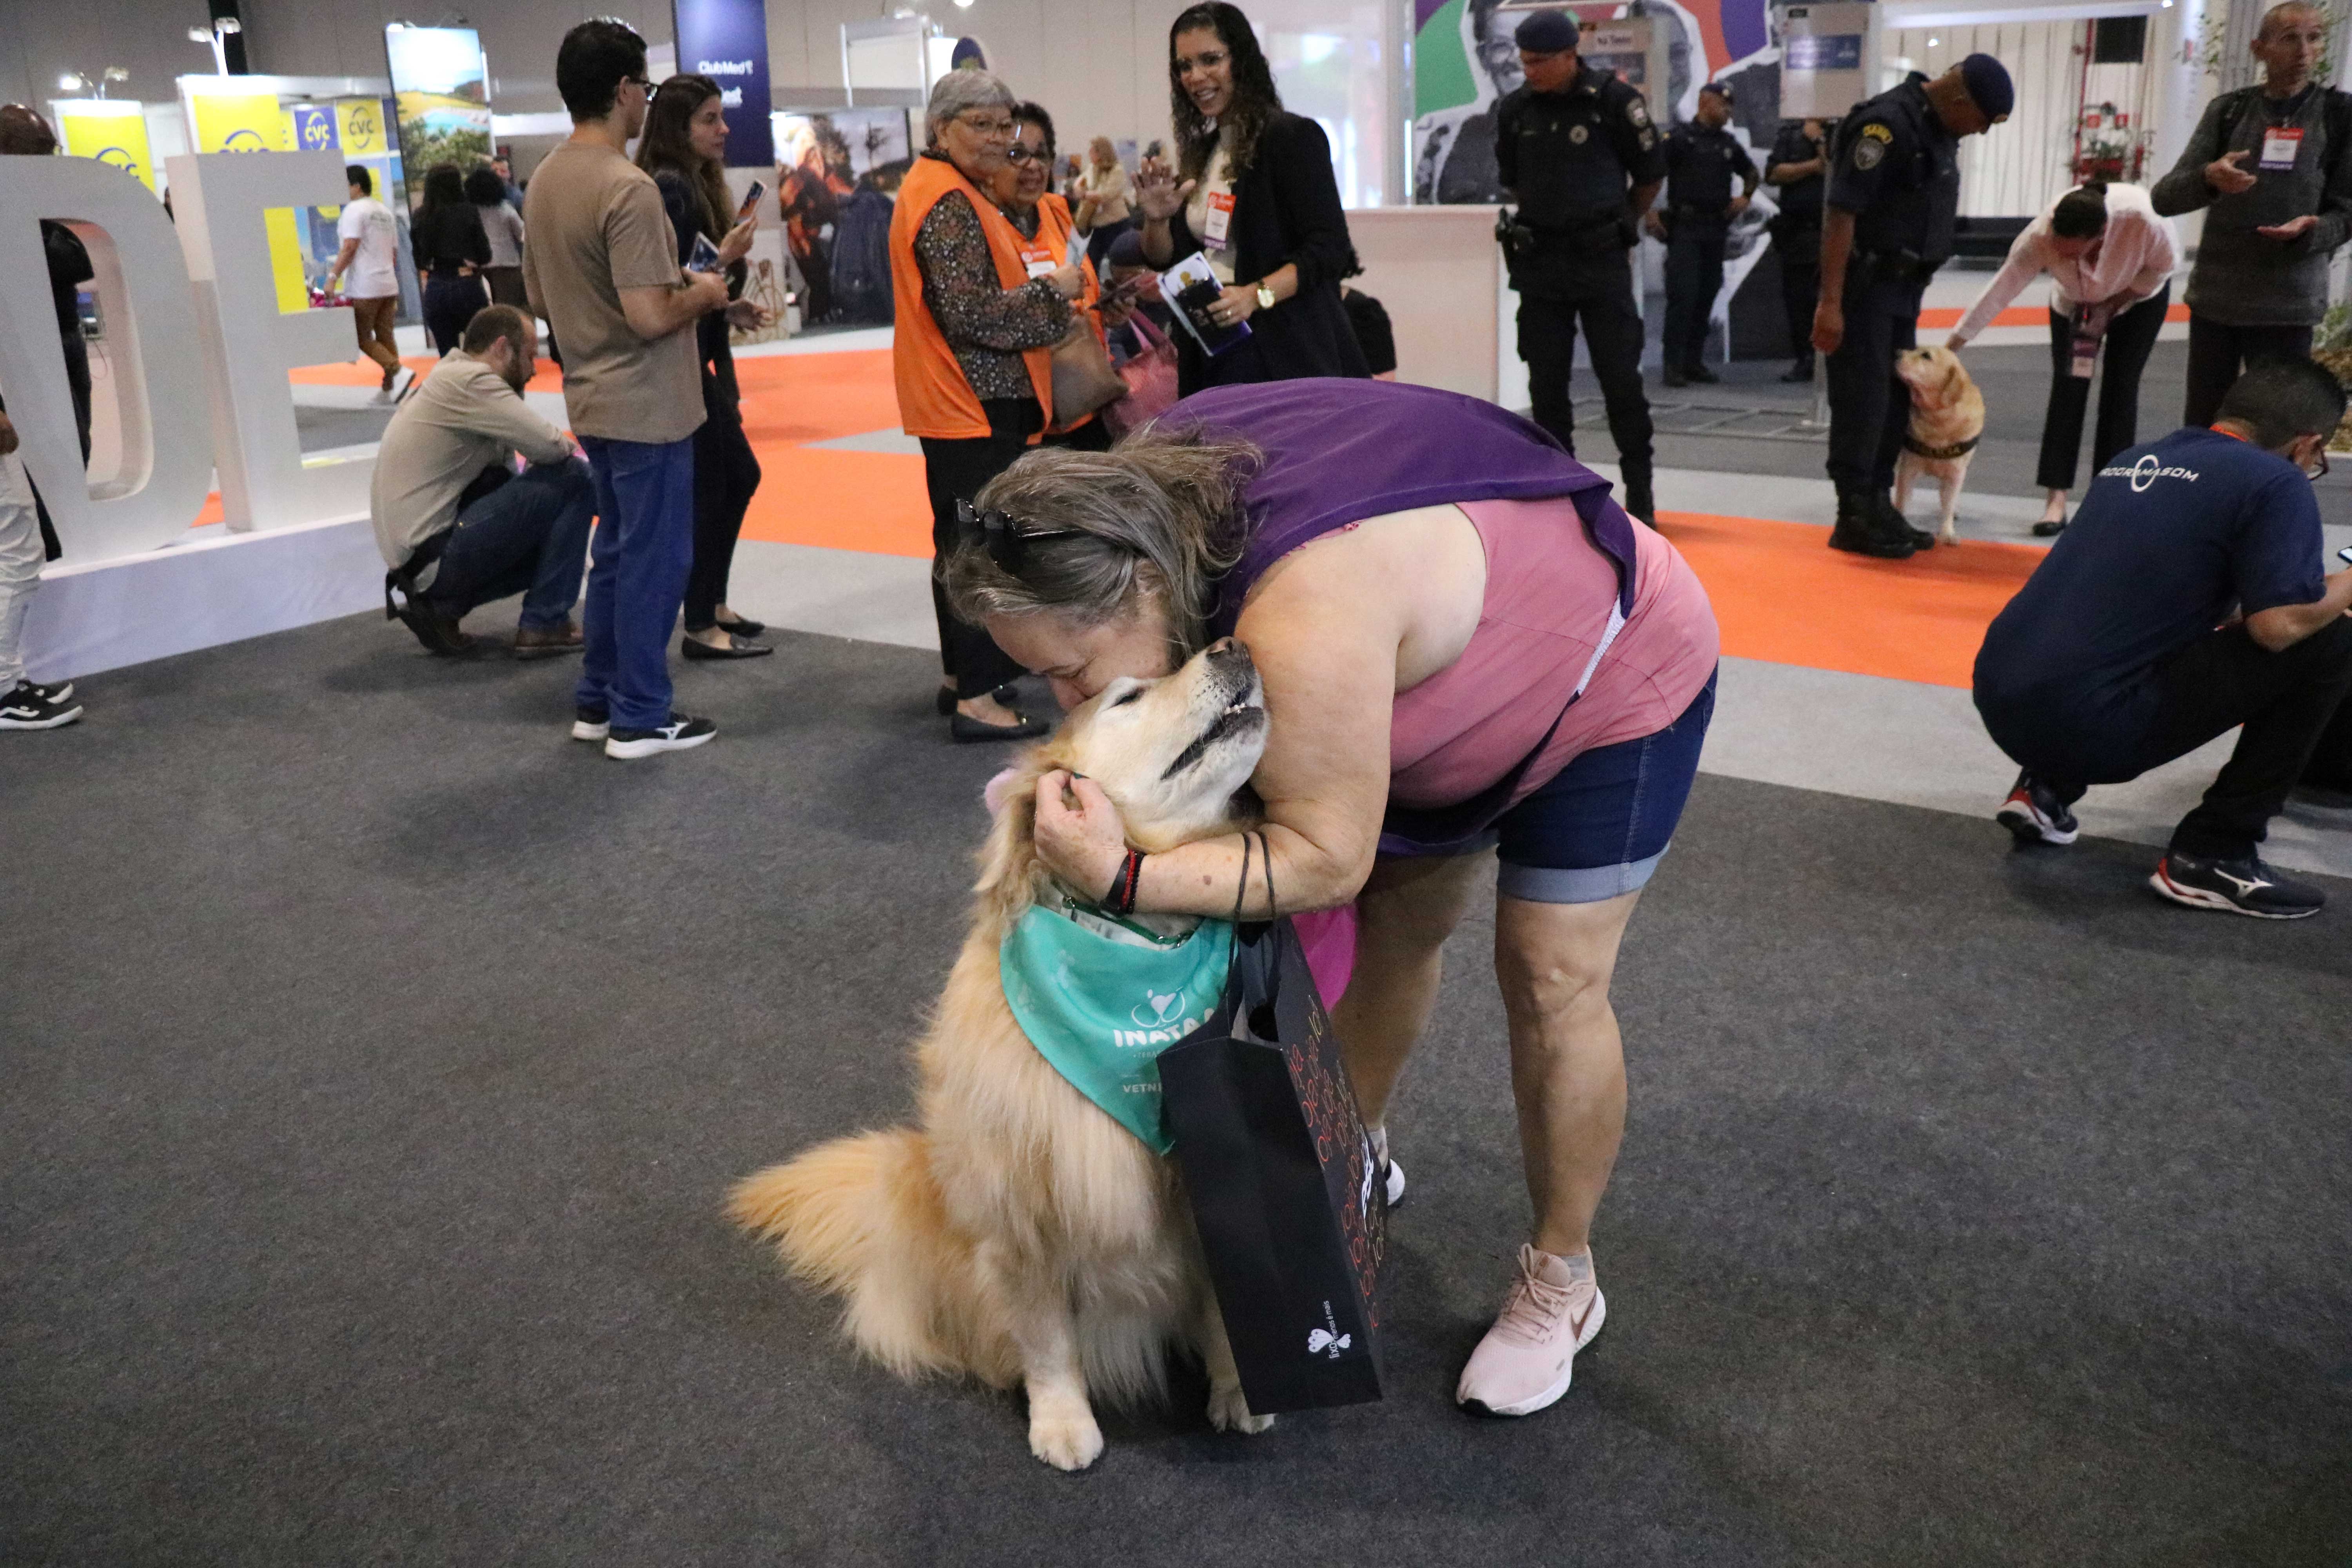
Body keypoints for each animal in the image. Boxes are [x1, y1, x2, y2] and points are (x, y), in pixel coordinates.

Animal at [734, 639, 1289, 1476]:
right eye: (1128, 698)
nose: (1234, 645)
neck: (1132, 946)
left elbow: (1232, 1311)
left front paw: (1240, 1389)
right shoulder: (1021, 1210)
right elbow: (1048, 1340)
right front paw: (1061, 1421)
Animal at [1891, 343, 1985, 545]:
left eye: (1926, 356)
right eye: (1915, 348)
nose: (1897, 353)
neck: (1938, 419)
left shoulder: (1956, 473)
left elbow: (1948, 504)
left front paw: (1947, 533)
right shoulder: (1909, 468)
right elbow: (1903, 498)